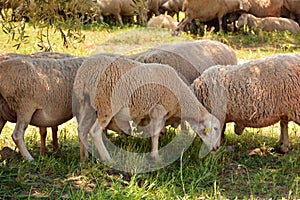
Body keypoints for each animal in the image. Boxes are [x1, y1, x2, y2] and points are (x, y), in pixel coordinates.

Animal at [72, 54, 220, 161]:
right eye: (215, 128)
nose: (217, 148)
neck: (181, 97)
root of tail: (86, 73)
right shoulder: (159, 111)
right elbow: (155, 133)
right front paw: (155, 156)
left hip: (86, 105)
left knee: (82, 130)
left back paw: (84, 158)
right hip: (106, 104)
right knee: (94, 132)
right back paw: (107, 159)